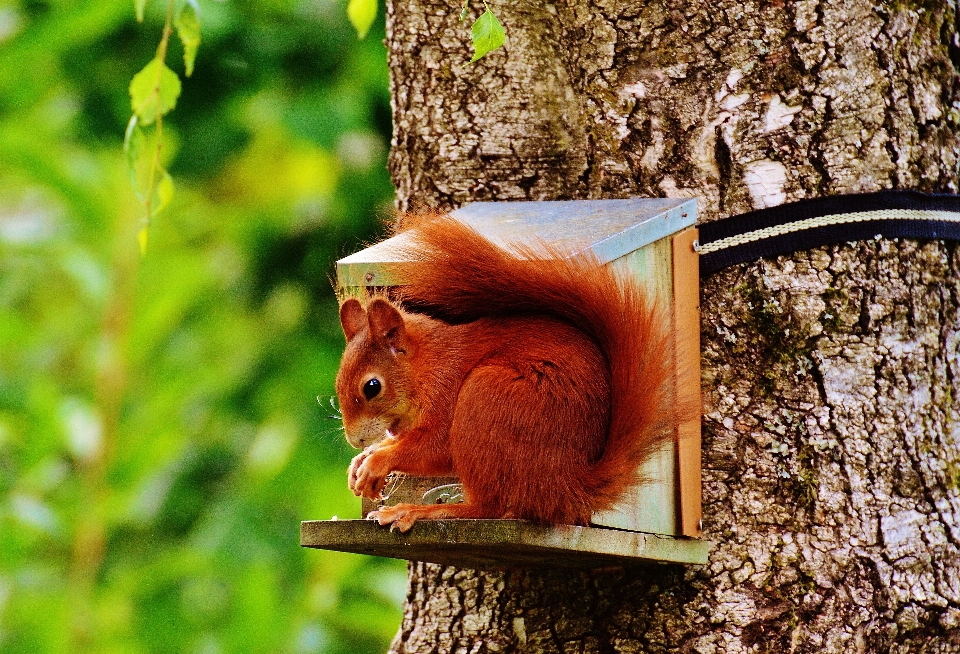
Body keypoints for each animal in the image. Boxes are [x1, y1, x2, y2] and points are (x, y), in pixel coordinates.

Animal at [334, 215, 680, 532]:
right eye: (338, 384)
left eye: (372, 387)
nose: (354, 440)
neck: (426, 367)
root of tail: (570, 486)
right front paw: (362, 461)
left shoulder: (446, 389)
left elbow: (436, 448)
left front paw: (376, 461)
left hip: (486, 397)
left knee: (489, 507)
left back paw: (418, 511)